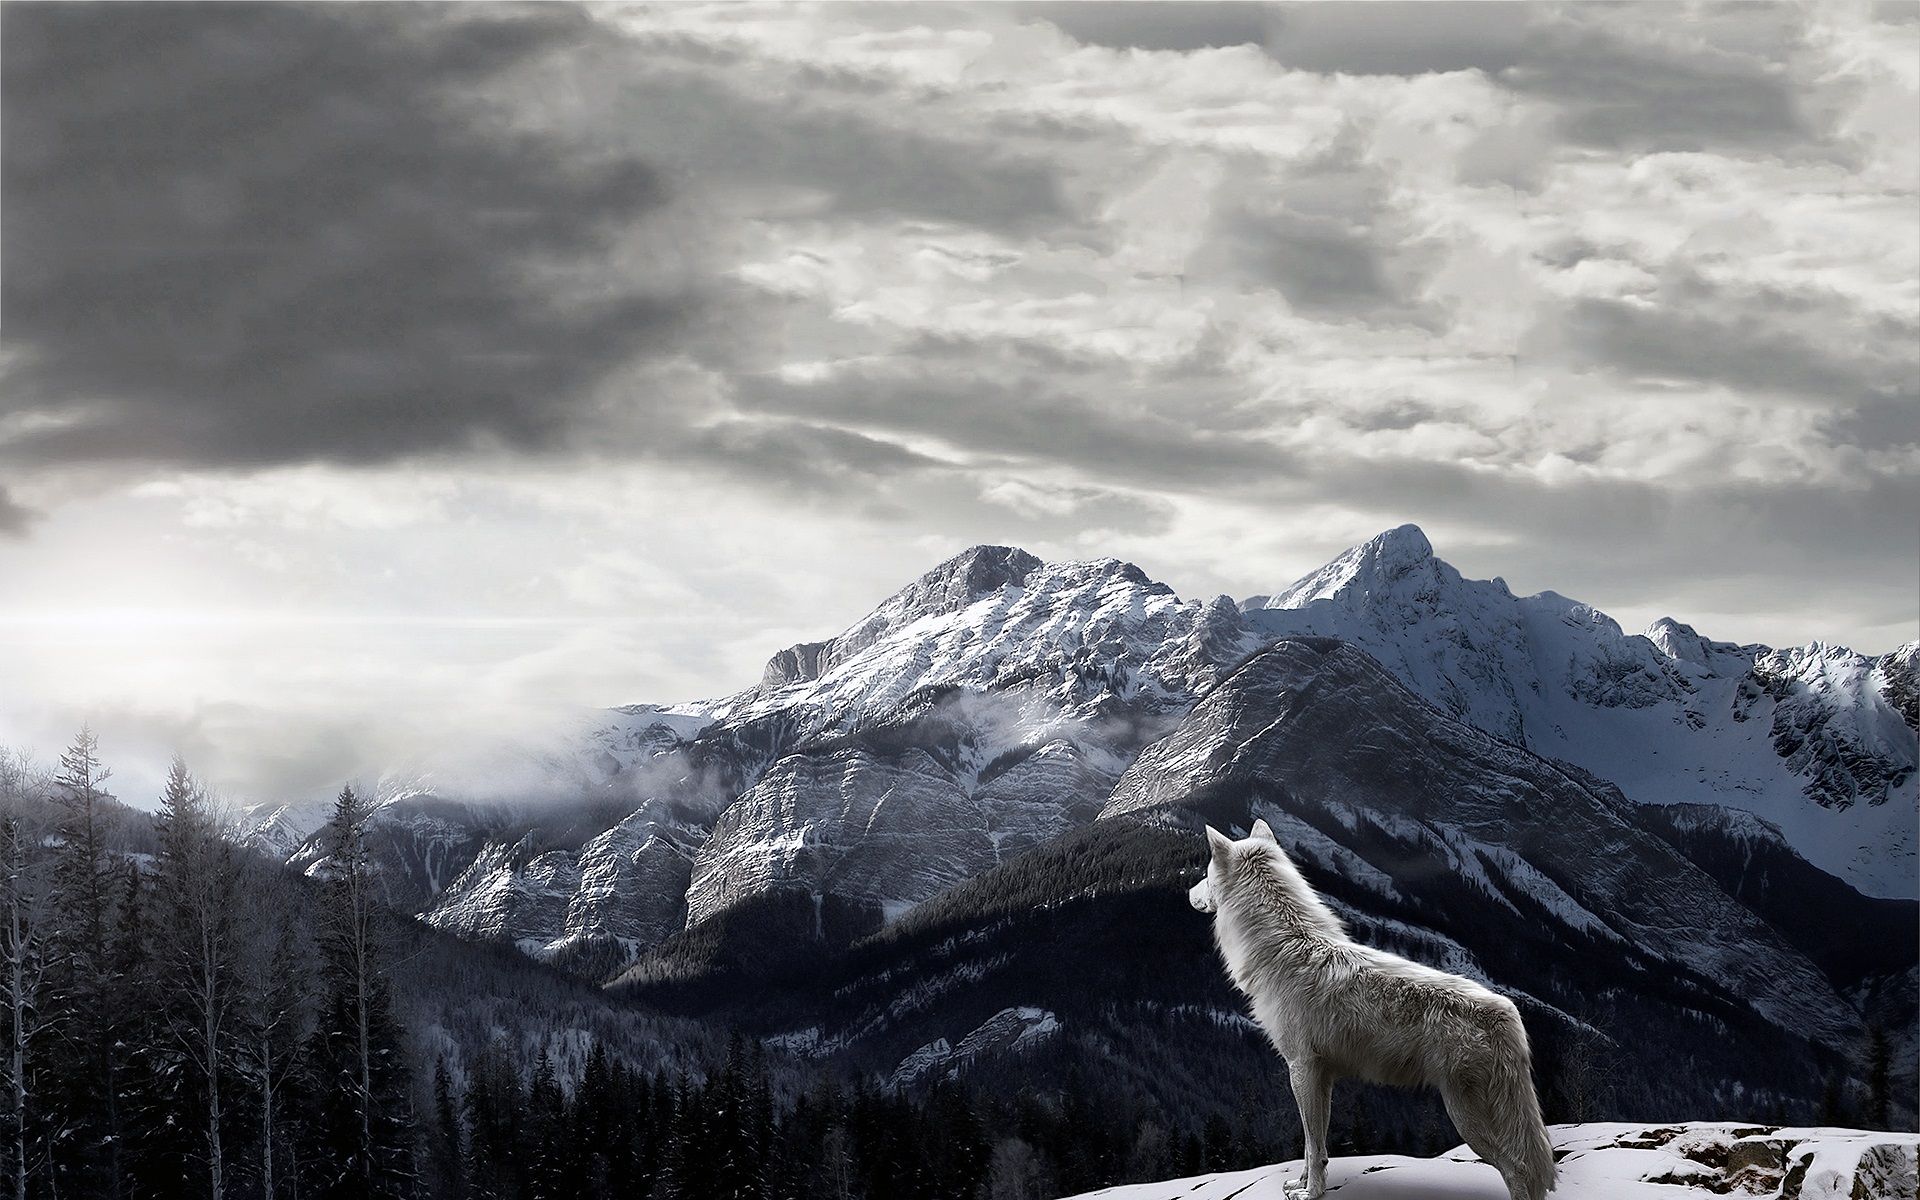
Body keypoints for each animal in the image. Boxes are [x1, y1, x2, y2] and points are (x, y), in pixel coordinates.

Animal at [1189, 820, 1557, 1200]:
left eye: (1205, 874)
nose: (1188, 892)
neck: (1284, 948)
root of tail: (1506, 1012)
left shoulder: (1301, 1068)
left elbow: (1312, 1143)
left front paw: (1311, 1193)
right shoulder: (1321, 1076)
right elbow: (1313, 1145)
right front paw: (1302, 1183)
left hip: (1467, 1119)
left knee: (1519, 1170)